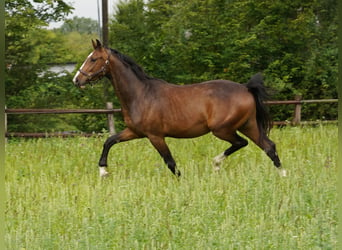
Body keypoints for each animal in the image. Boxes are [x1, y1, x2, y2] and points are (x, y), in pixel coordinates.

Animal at [73, 40, 286, 178]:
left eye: (93, 59)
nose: (77, 80)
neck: (140, 94)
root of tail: (246, 89)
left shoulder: (155, 136)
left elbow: (170, 162)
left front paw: (181, 182)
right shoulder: (134, 132)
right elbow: (109, 141)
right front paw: (103, 171)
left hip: (223, 129)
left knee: (242, 143)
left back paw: (216, 164)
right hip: (248, 125)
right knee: (269, 146)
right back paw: (283, 176)